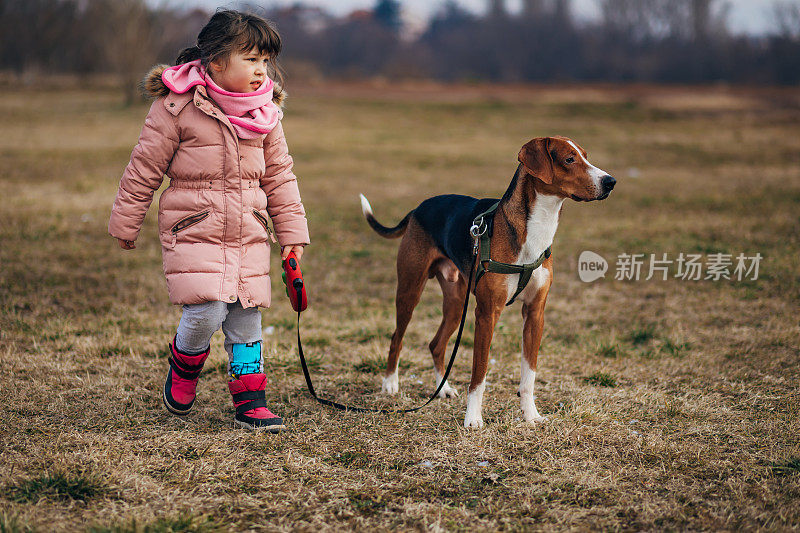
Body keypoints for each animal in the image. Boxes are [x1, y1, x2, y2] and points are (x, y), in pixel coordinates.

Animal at [360, 137, 616, 428]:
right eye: (569, 159)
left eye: (585, 156)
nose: (611, 182)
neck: (535, 229)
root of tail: (418, 208)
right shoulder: (486, 313)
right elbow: (479, 374)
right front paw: (473, 419)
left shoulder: (535, 313)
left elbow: (529, 375)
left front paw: (531, 415)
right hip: (410, 290)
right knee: (397, 338)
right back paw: (390, 384)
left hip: (456, 304)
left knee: (436, 344)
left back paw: (443, 389)